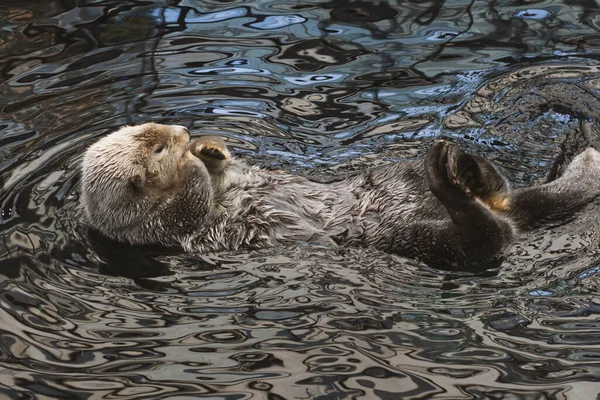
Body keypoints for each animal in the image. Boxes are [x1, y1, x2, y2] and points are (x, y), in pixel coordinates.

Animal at [79, 122, 600, 266]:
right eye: (157, 145)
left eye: (156, 129)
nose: (183, 132)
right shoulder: (162, 229)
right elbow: (189, 205)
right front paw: (191, 164)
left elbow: (226, 174)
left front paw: (210, 149)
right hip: (416, 240)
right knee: (485, 239)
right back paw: (451, 181)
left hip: (394, 177)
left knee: (496, 192)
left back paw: (466, 166)